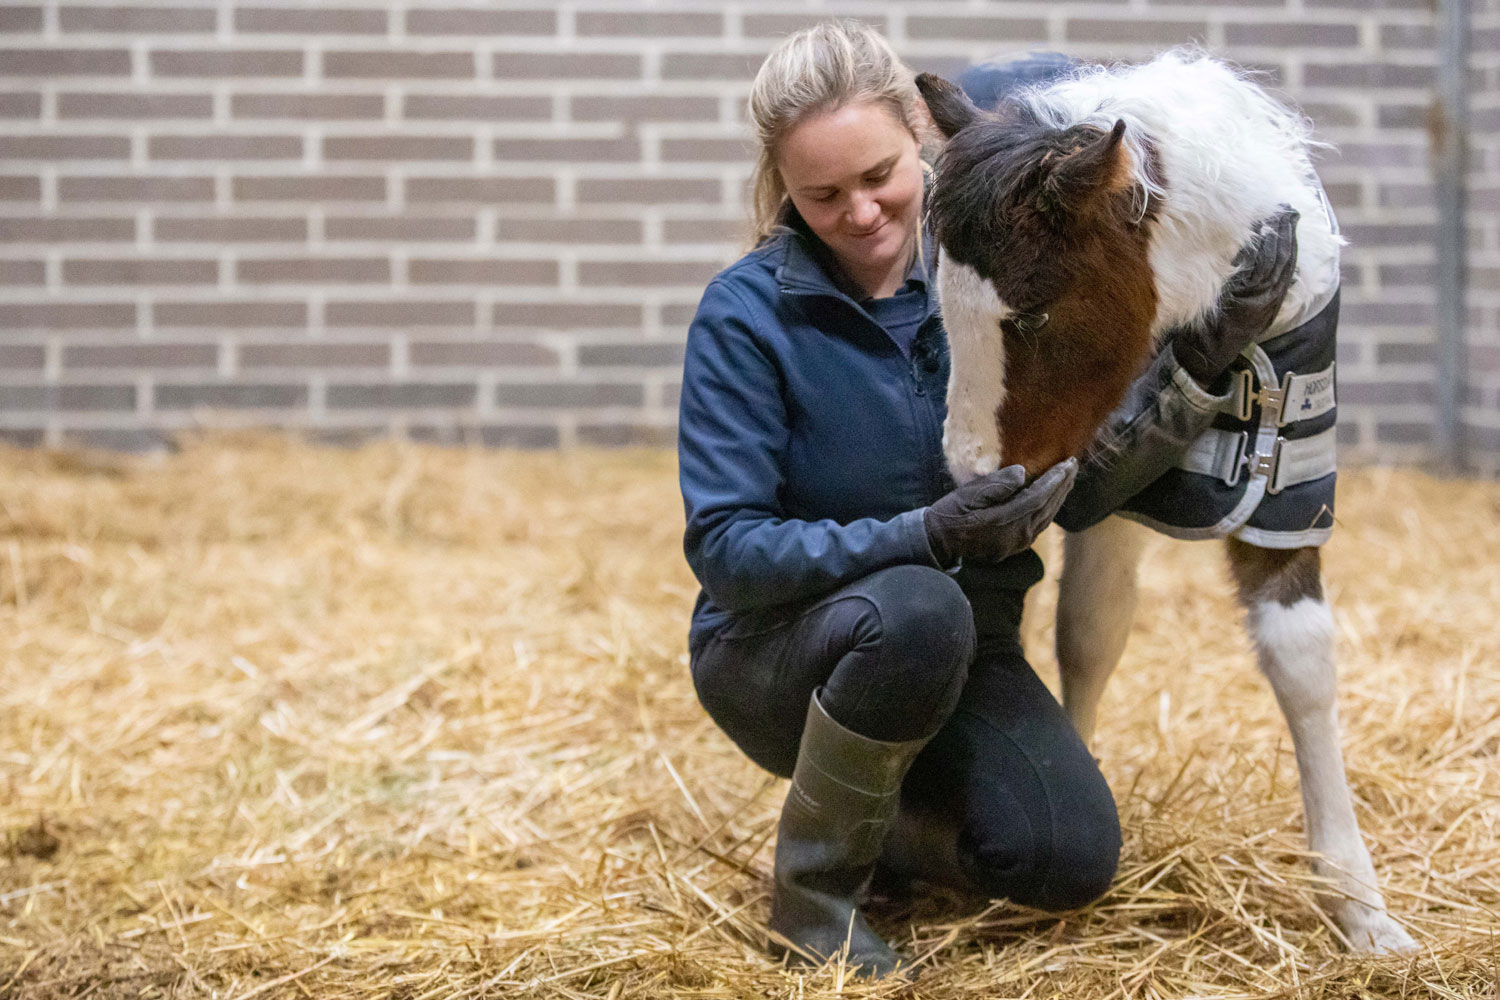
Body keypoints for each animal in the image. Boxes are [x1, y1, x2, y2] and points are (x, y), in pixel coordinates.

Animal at [912, 52, 1416, 953]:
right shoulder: (1101, 491)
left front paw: (1362, 908)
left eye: (1034, 313)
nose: (972, 479)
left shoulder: (1288, 483)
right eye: (940, 304)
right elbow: (1089, 630)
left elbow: (1302, 660)